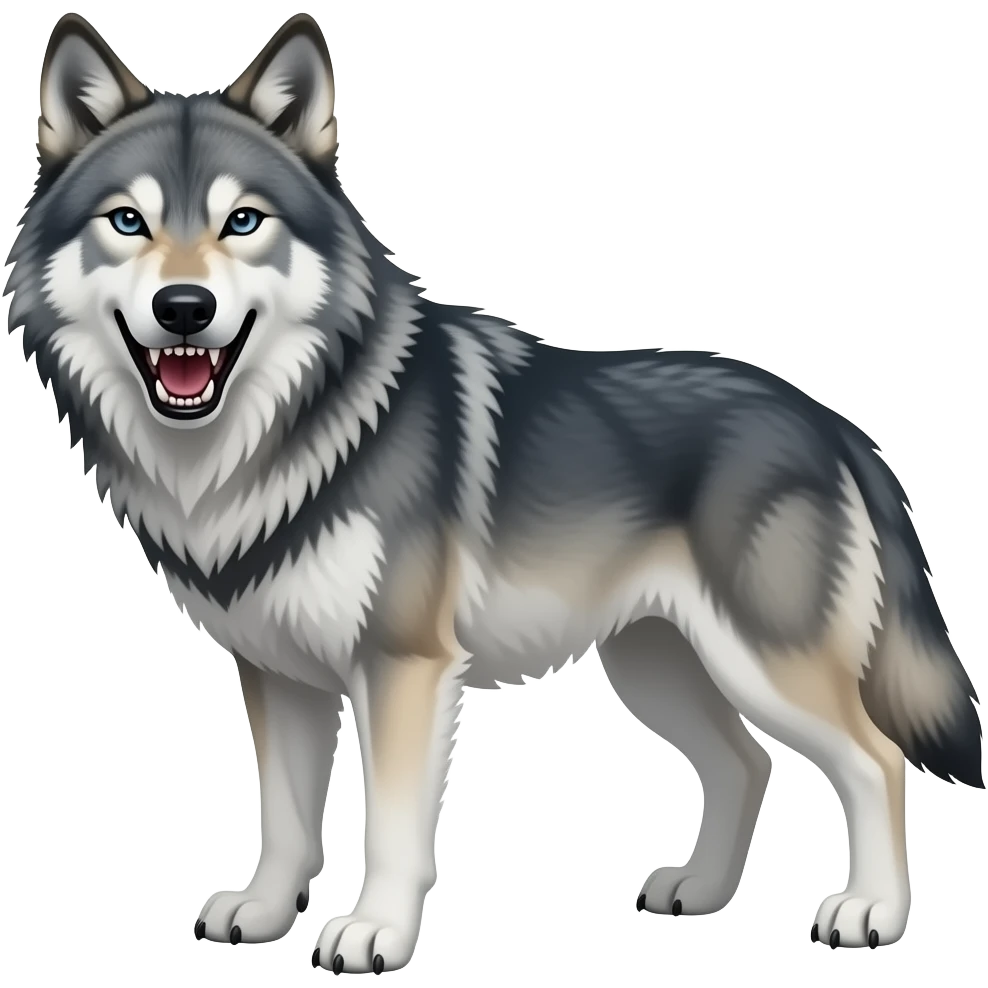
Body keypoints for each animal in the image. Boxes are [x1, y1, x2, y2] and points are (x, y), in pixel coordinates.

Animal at [3, 10, 983, 972]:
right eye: (127, 221)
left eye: (243, 221)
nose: (184, 309)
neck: (274, 438)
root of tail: (834, 424)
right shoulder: (279, 672)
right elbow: (283, 819)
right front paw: (264, 913)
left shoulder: (404, 666)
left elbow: (393, 825)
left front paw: (374, 933)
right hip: (658, 665)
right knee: (748, 764)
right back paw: (699, 894)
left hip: (762, 662)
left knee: (876, 759)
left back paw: (870, 914)